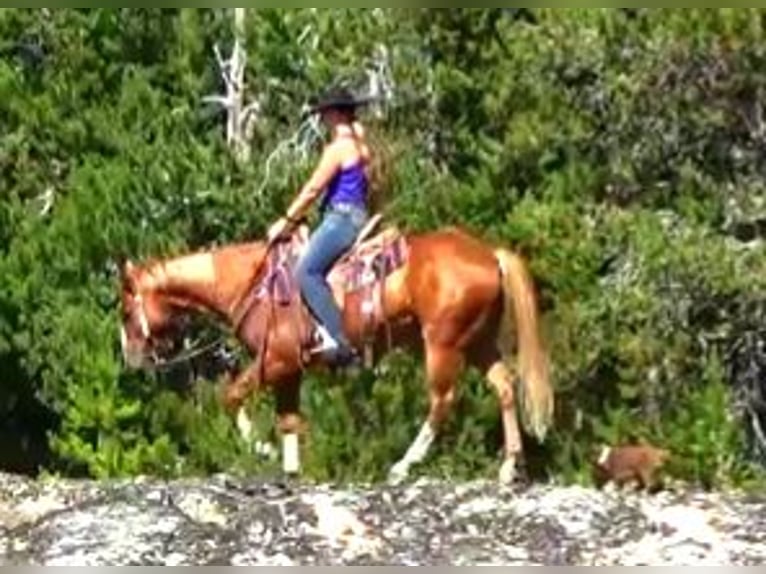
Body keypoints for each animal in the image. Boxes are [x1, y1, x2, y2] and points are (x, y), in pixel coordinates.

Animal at [117, 220, 556, 486]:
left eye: (125, 312)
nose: (131, 357)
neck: (252, 284)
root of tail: (490, 255)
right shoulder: (289, 370)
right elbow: (289, 420)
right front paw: (291, 470)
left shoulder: (276, 361)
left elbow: (232, 397)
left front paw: (261, 447)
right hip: (478, 342)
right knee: (504, 387)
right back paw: (508, 467)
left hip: (442, 344)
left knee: (442, 400)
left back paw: (403, 465)